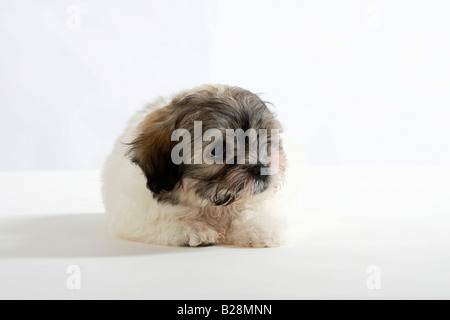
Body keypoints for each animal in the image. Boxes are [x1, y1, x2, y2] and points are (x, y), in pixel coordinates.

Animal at [102, 84, 296, 246]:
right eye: (217, 150)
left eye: (265, 139)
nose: (261, 167)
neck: (214, 208)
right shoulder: (135, 217)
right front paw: (192, 229)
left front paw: (259, 227)